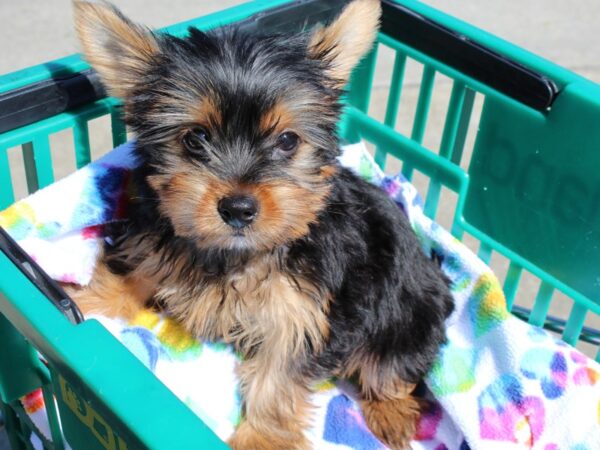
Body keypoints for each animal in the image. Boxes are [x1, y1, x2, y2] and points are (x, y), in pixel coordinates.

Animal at [71, 1, 450, 448]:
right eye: (195, 138)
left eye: (287, 141)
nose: (238, 207)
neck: (237, 254)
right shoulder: (152, 243)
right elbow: (124, 277)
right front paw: (81, 304)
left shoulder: (303, 316)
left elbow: (277, 380)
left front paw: (260, 438)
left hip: (410, 316)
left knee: (391, 366)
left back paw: (391, 412)